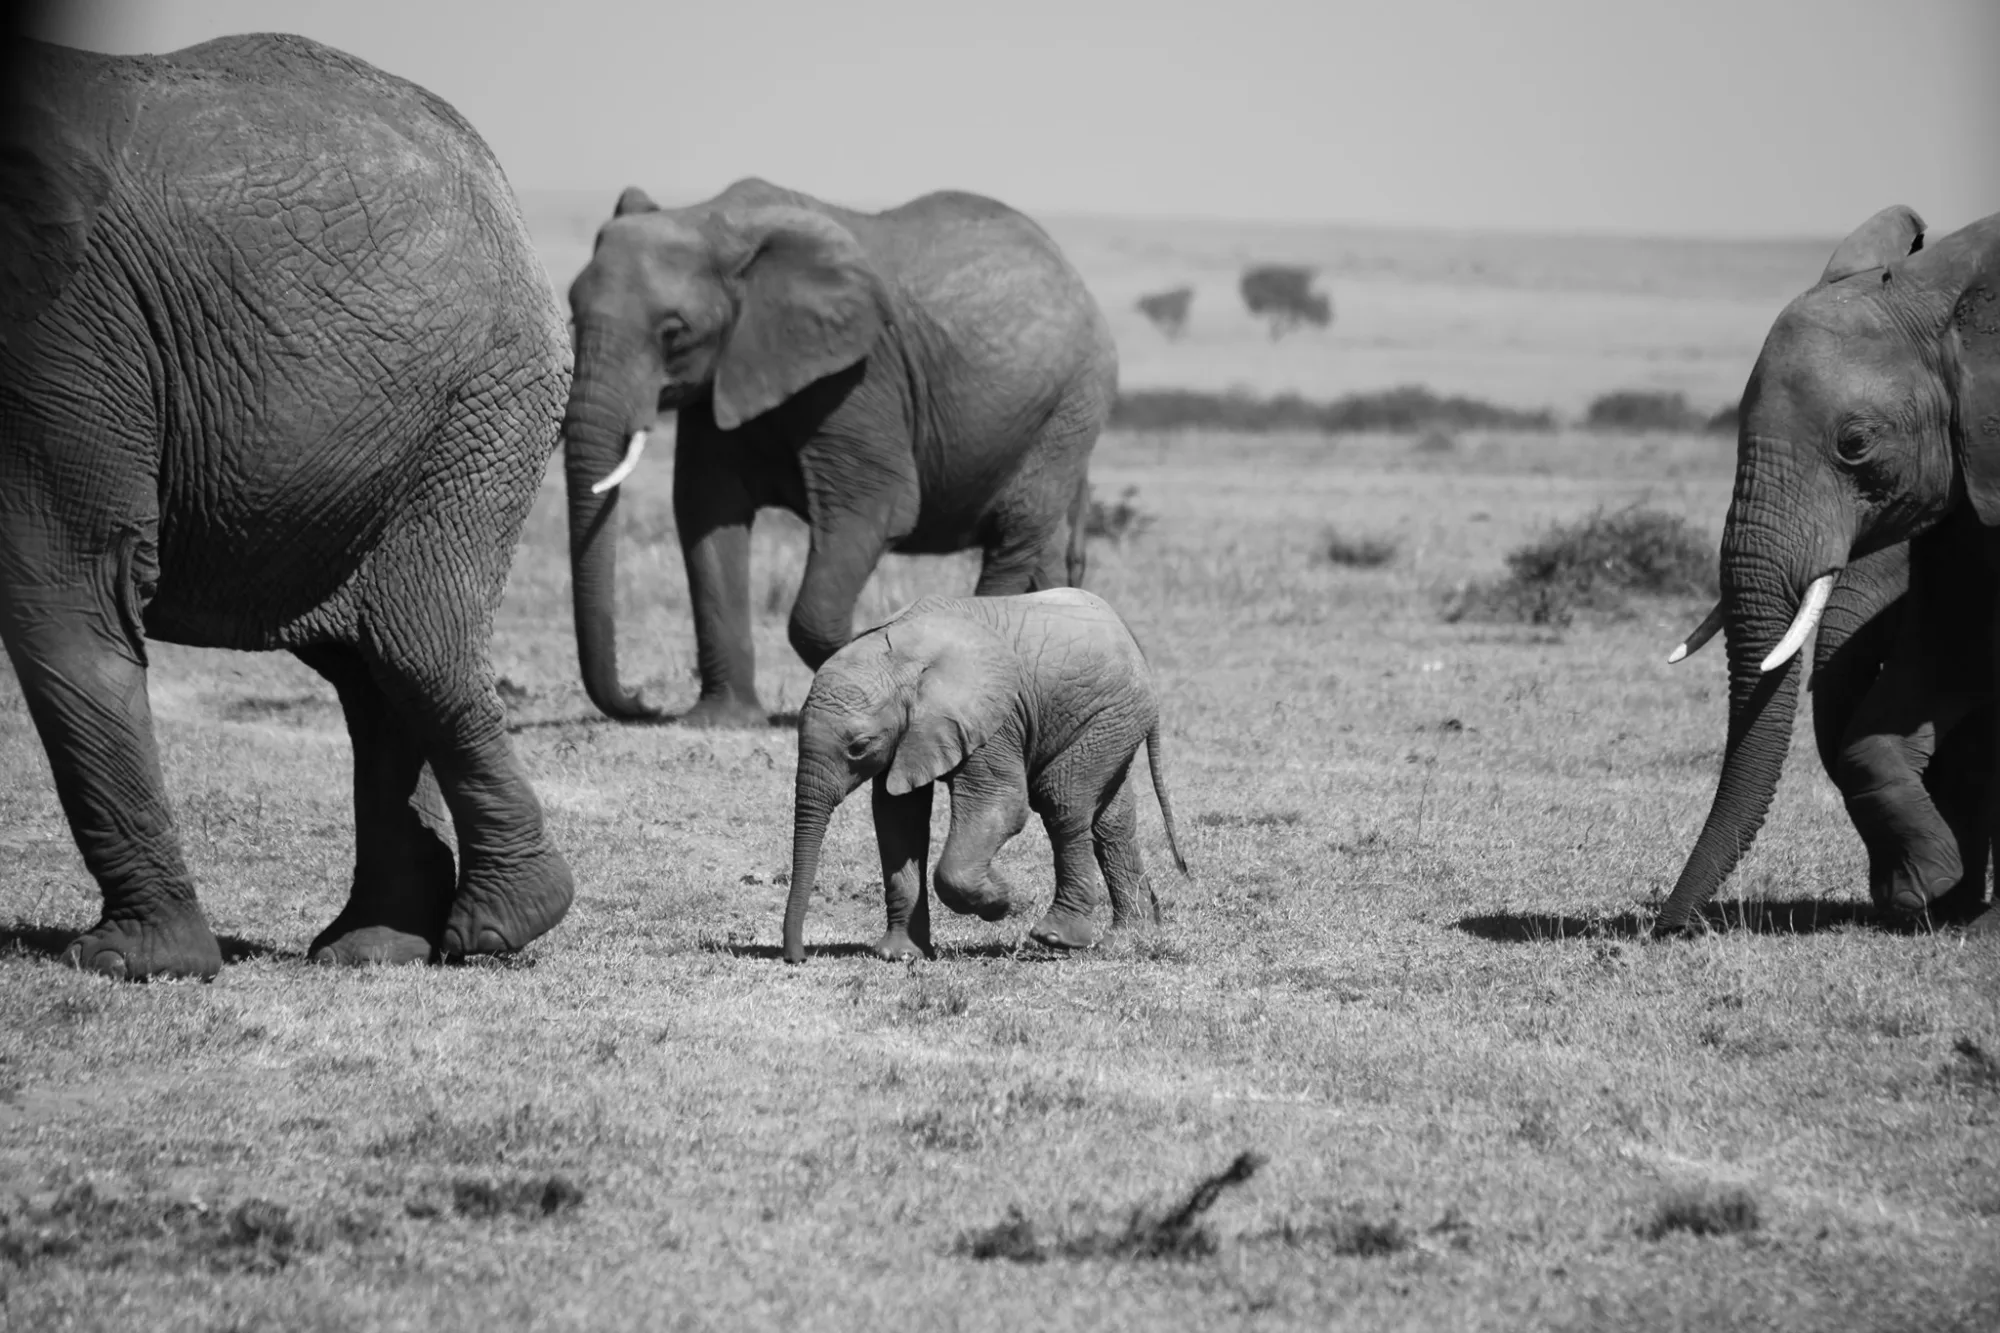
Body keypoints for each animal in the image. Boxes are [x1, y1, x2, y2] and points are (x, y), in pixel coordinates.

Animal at [0, 34, 575, 979]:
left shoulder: (63, 328)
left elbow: (65, 595)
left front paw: (127, 962)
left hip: (482, 408)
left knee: (418, 648)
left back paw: (494, 927)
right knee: (374, 670)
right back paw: (374, 946)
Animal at [559, 177, 1115, 729]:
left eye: (673, 332)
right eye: (571, 316)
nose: (642, 702)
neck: (713, 221)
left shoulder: (861, 376)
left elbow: (876, 506)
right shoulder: (724, 376)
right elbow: (707, 512)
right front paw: (719, 719)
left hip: (1072, 402)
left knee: (1014, 529)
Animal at [780, 589, 1187, 963]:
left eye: (859, 746)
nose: (796, 957)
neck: (901, 656)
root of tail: (1127, 635)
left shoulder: (995, 719)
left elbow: (1001, 805)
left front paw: (1008, 900)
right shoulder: (909, 735)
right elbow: (898, 819)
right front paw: (902, 955)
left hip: (1107, 717)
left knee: (1063, 805)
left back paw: (1057, 937)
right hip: (1112, 723)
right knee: (1112, 822)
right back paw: (1126, 942)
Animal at [1658, 205, 2000, 934]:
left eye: (1855, 443)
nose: (1670, 923)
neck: (1942, 291)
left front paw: (1928, 894)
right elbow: (1952, 639)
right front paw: (1923, 886)